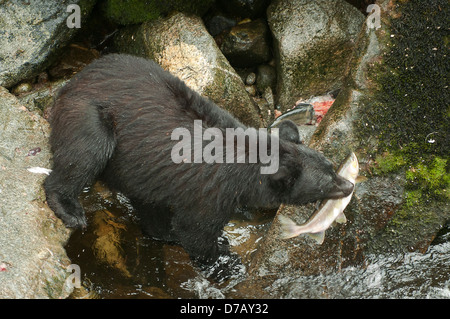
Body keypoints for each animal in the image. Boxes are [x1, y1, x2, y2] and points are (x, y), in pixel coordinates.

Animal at [44, 54, 356, 268]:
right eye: (327, 181)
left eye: (330, 166)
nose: (349, 185)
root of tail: (75, 79)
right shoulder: (210, 192)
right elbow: (195, 231)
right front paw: (224, 262)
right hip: (90, 116)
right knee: (83, 155)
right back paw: (70, 209)